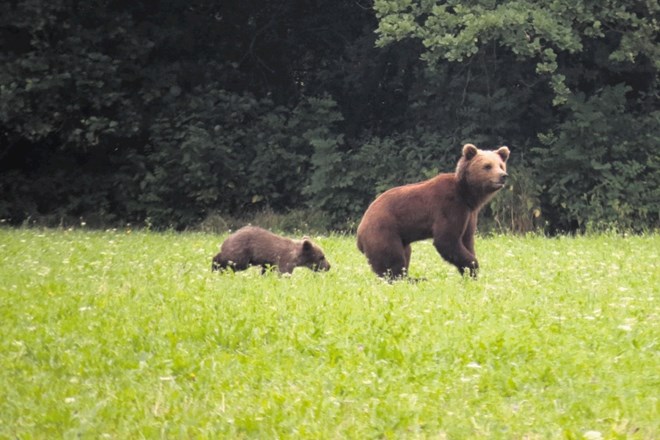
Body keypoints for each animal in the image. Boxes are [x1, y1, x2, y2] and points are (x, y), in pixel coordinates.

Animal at [358, 144, 508, 278]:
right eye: (487, 166)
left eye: (500, 165)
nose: (503, 176)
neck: (466, 194)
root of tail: (359, 232)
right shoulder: (450, 207)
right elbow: (447, 240)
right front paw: (472, 267)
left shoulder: (470, 214)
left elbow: (467, 240)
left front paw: (470, 273)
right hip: (383, 230)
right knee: (392, 260)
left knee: (405, 253)